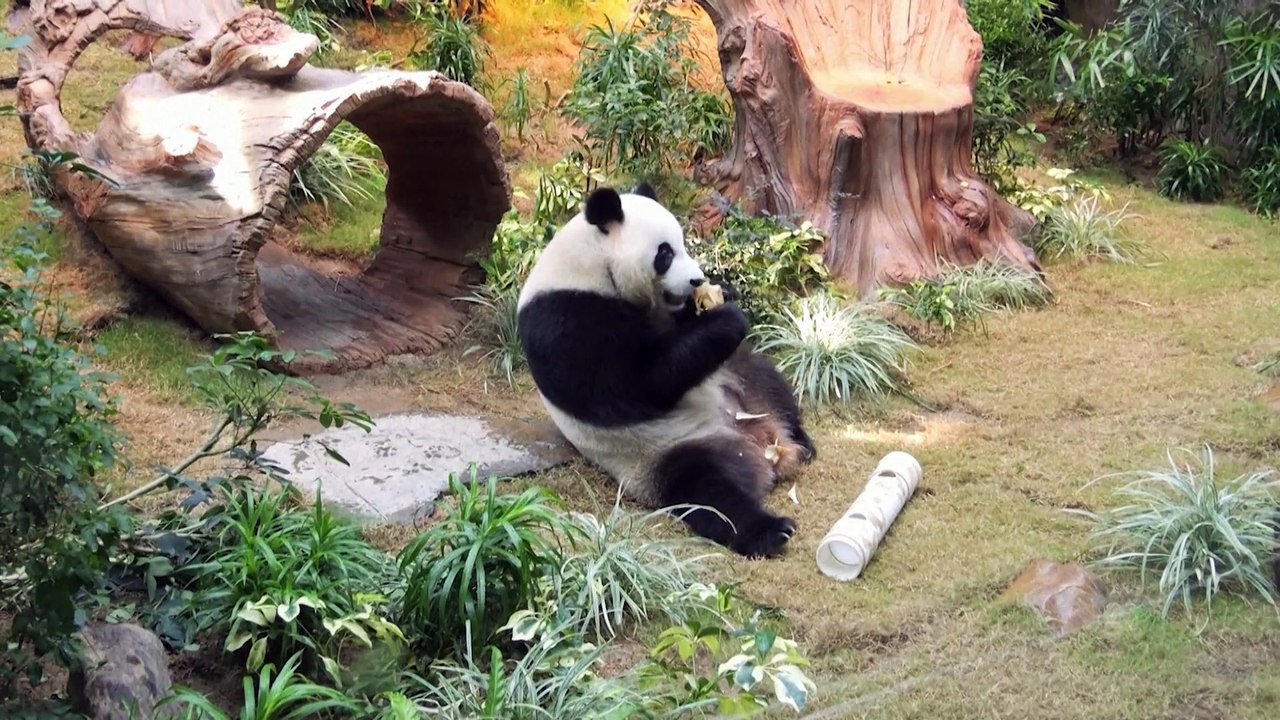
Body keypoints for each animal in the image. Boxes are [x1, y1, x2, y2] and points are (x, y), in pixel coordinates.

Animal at [515, 182, 816, 558]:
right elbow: (634, 384)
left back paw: (803, 442)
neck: (591, 264)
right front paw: (728, 316)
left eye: (683, 243)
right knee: (708, 491)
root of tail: (764, 449)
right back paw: (769, 530)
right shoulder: (564, 320)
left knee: (770, 383)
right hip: (664, 451)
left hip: (743, 381)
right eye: (665, 253)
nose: (697, 280)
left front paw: (720, 294)